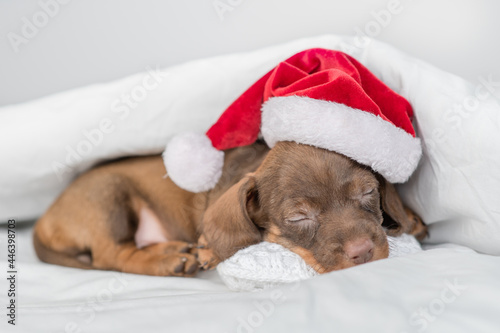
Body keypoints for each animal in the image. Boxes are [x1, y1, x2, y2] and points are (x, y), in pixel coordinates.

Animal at [33, 140, 428, 274]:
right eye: (298, 217)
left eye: (368, 192)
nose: (363, 251)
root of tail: (42, 221)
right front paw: (209, 248)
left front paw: (409, 217)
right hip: (108, 197)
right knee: (111, 254)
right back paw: (168, 259)